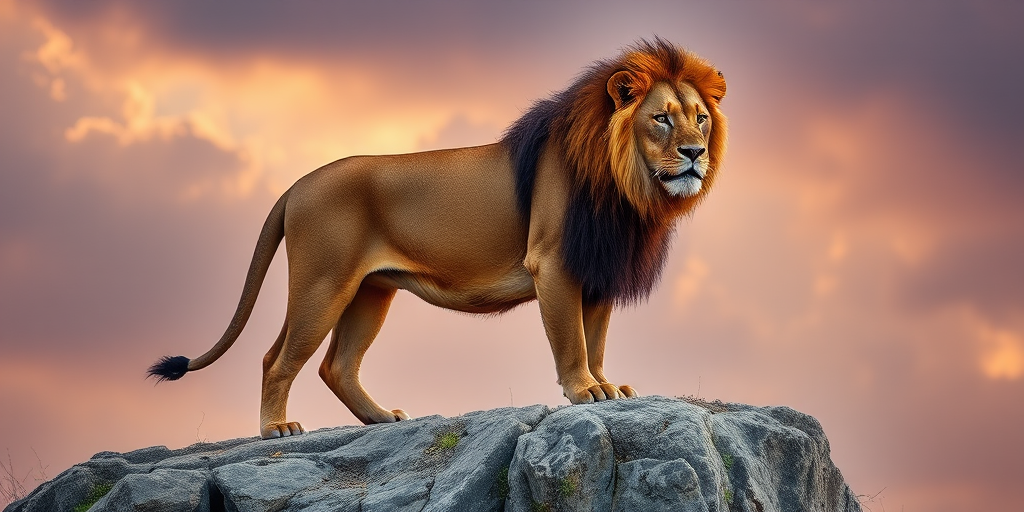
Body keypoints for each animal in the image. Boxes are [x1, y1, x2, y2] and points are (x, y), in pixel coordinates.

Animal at [149, 38, 728, 439]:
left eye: (701, 119)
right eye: (661, 119)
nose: (696, 153)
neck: (625, 186)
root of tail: (296, 185)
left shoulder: (600, 267)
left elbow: (597, 338)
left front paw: (608, 386)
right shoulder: (554, 263)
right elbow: (572, 339)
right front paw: (584, 389)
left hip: (370, 291)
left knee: (338, 365)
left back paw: (383, 418)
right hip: (322, 283)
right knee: (277, 359)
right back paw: (276, 429)